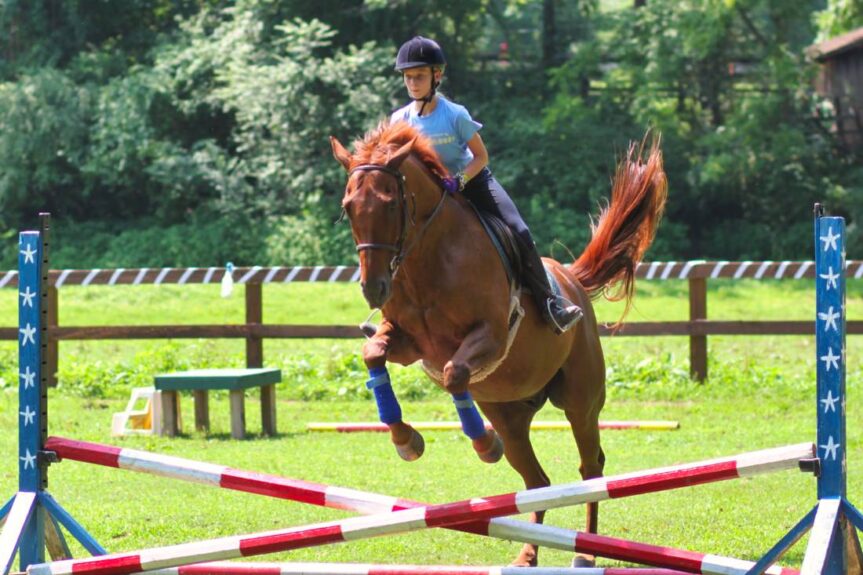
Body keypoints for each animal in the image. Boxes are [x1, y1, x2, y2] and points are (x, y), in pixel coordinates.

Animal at [330, 121, 667, 567]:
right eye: (349, 206)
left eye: (389, 204)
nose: (374, 288)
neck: (428, 260)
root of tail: (571, 279)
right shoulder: (408, 344)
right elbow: (374, 355)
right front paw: (407, 441)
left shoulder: (488, 335)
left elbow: (455, 372)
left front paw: (484, 445)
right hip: (509, 411)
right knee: (538, 481)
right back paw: (527, 553)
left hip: (580, 400)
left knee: (591, 469)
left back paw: (585, 554)